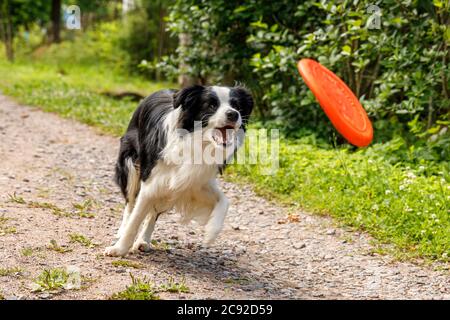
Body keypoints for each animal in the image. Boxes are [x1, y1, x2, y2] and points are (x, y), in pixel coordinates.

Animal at [105, 85, 253, 258]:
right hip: (130, 164)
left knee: (153, 213)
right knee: (130, 203)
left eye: (236, 105)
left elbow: (224, 201)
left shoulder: (194, 181)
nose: (233, 114)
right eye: (211, 105)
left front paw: (211, 232)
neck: (198, 143)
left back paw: (143, 240)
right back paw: (122, 230)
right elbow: (135, 218)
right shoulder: (151, 179)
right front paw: (118, 249)